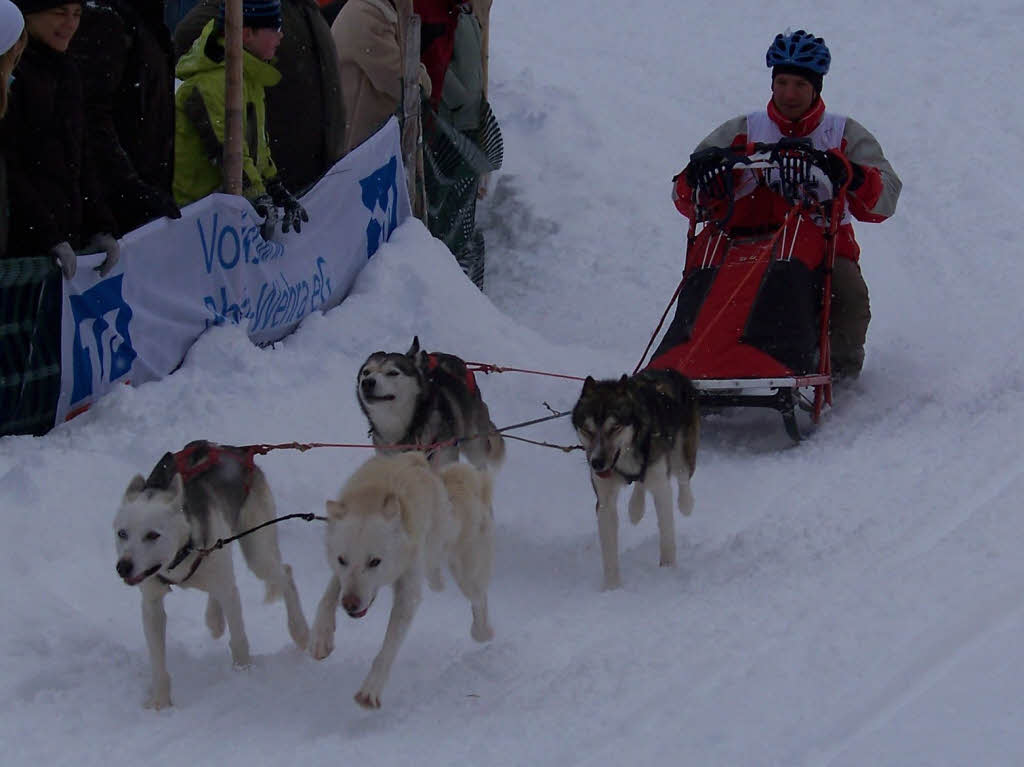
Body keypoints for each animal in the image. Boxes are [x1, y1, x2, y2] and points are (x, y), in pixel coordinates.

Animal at [309, 452, 493, 708]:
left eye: (375, 561)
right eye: (342, 559)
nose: (350, 605)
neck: (372, 497)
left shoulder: (408, 593)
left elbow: (387, 649)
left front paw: (370, 690)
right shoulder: (341, 576)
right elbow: (328, 596)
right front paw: (321, 636)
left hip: (466, 574)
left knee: (479, 599)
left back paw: (482, 631)